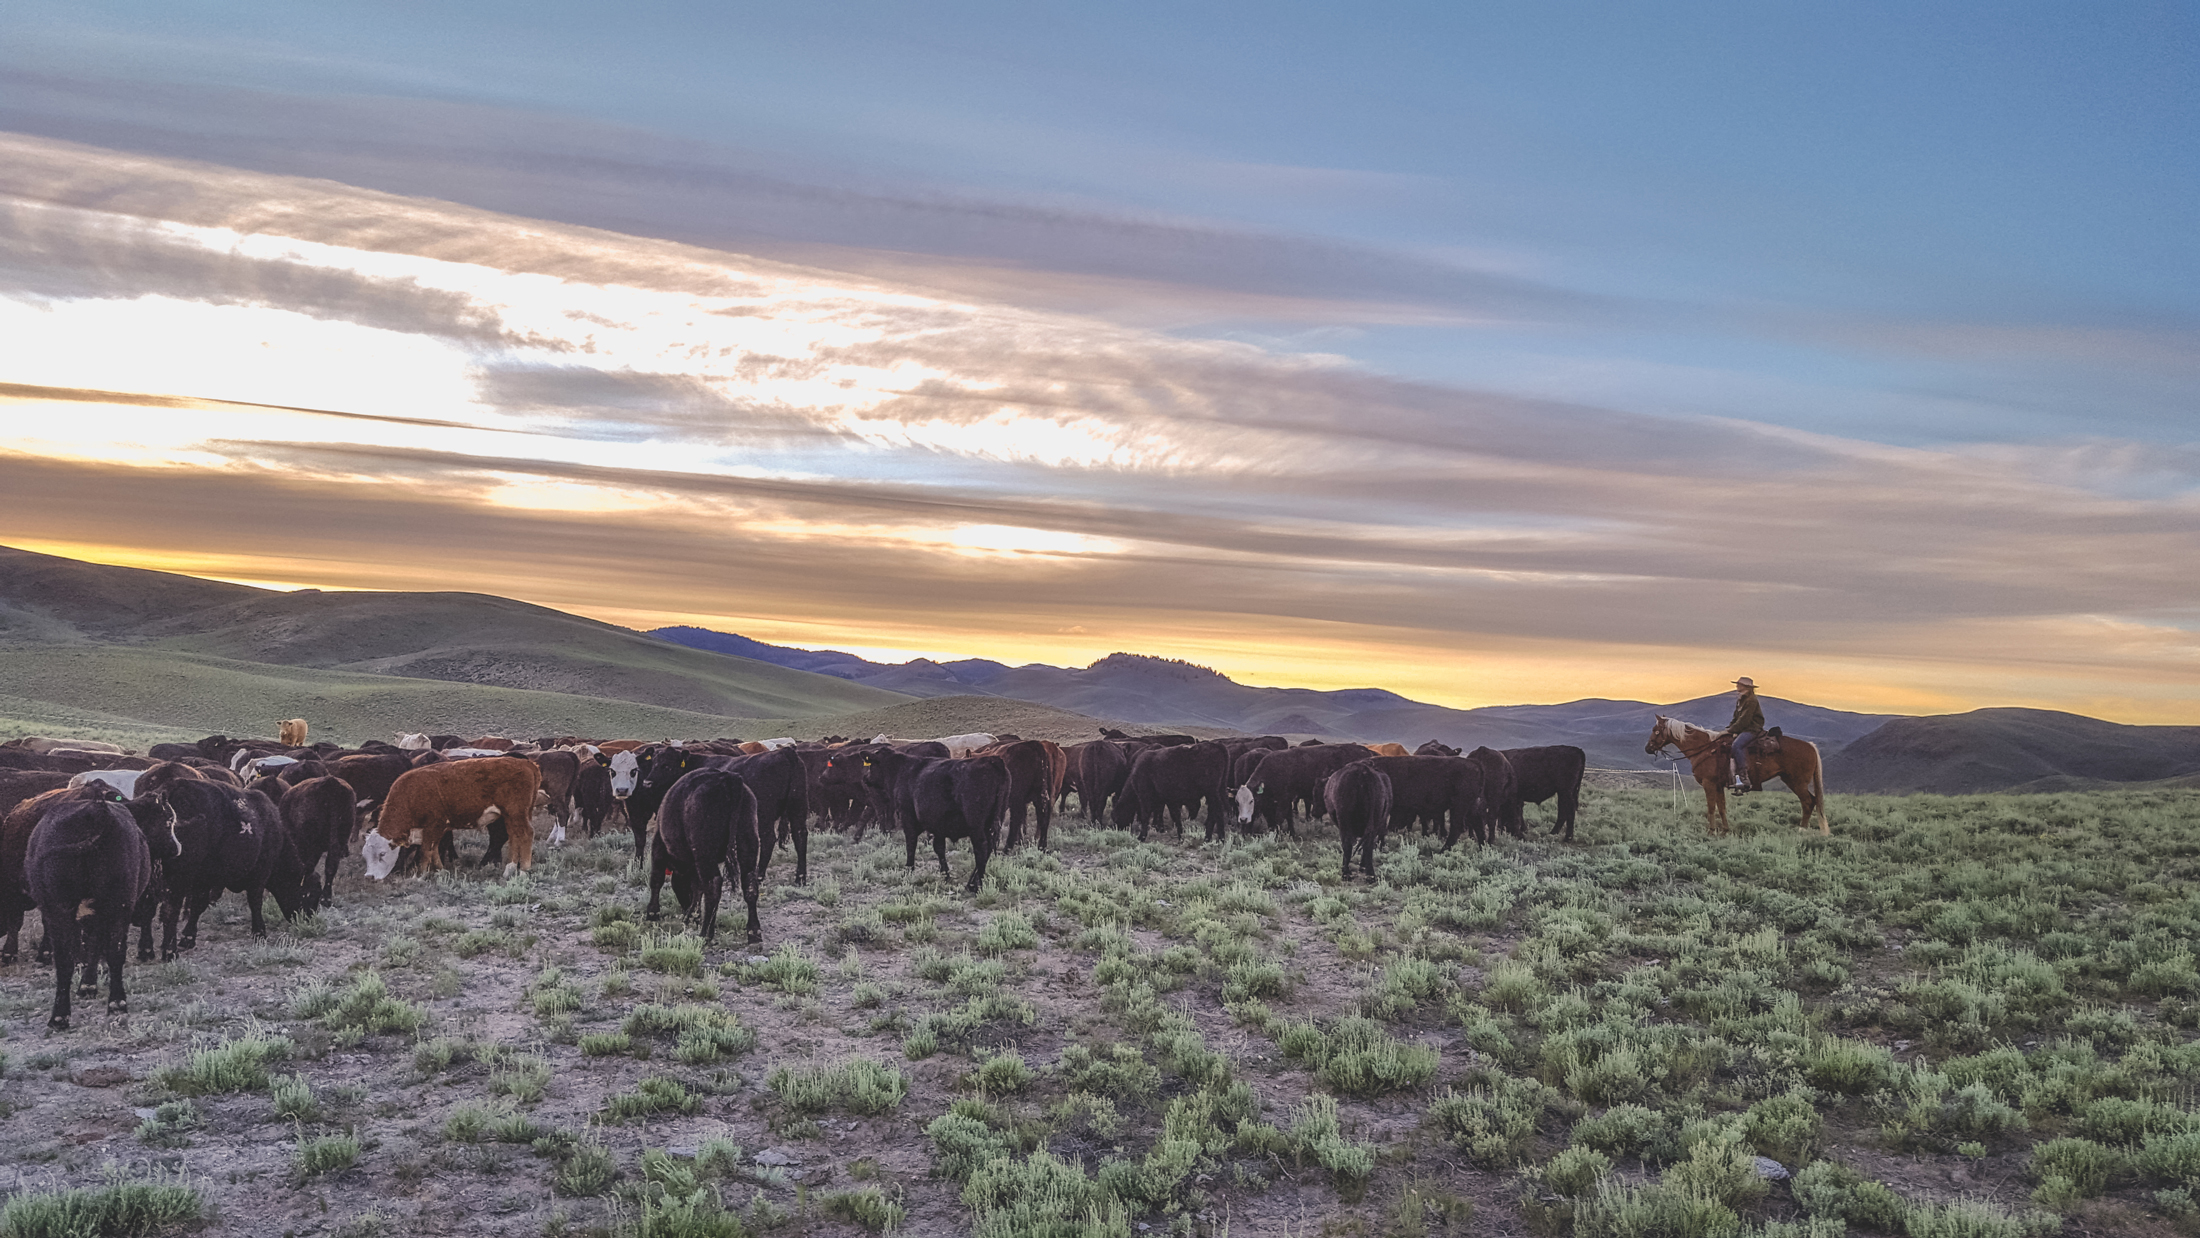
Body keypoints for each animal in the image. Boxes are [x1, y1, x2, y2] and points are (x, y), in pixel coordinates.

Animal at [27, 791, 180, 1033]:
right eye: (168, 821)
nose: (177, 848)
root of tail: (97, 812)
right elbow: (96, 945)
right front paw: (88, 984)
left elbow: (91, 946)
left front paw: (87, 984)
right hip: (116, 904)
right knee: (112, 951)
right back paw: (116, 1003)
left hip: (62, 908)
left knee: (67, 958)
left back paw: (61, 1016)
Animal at [358, 756, 539, 879]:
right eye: (365, 855)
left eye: (382, 854)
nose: (369, 877)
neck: (412, 794)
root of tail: (526, 763)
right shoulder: (434, 829)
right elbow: (434, 850)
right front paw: (440, 870)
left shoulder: (434, 825)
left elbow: (426, 850)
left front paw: (420, 875)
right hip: (511, 815)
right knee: (515, 837)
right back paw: (509, 869)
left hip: (517, 813)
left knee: (526, 834)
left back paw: (524, 870)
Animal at [642, 769, 765, 945]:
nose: (685, 908)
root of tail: (727, 778)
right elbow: (698, 887)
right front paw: (693, 915)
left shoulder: (658, 847)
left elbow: (656, 879)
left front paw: (652, 913)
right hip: (748, 845)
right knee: (749, 884)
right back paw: (754, 933)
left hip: (705, 853)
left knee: (714, 884)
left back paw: (705, 934)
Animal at [858, 747, 1012, 892]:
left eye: (871, 765)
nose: (865, 778)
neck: (901, 770)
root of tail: (992, 760)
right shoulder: (938, 824)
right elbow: (939, 848)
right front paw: (945, 875)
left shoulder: (907, 816)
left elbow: (911, 844)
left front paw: (908, 870)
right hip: (994, 819)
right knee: (989, 847)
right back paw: (971, 883)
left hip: (976, 825)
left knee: (982, 848)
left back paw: (976, 885)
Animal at [1645, 721, 1830, 839]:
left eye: (1655, 730)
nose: (1648, 748)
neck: (1706, 749)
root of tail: (1810, 746)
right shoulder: (1718, 786)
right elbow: (1721, 808)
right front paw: (1725, 831)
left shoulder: (1709, 784)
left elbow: (1711, 808)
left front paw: (1711, 831)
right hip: (1791, 780)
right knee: (1811, 801)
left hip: (1796, 781)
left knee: (1808, 802)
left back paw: (1801, 830)